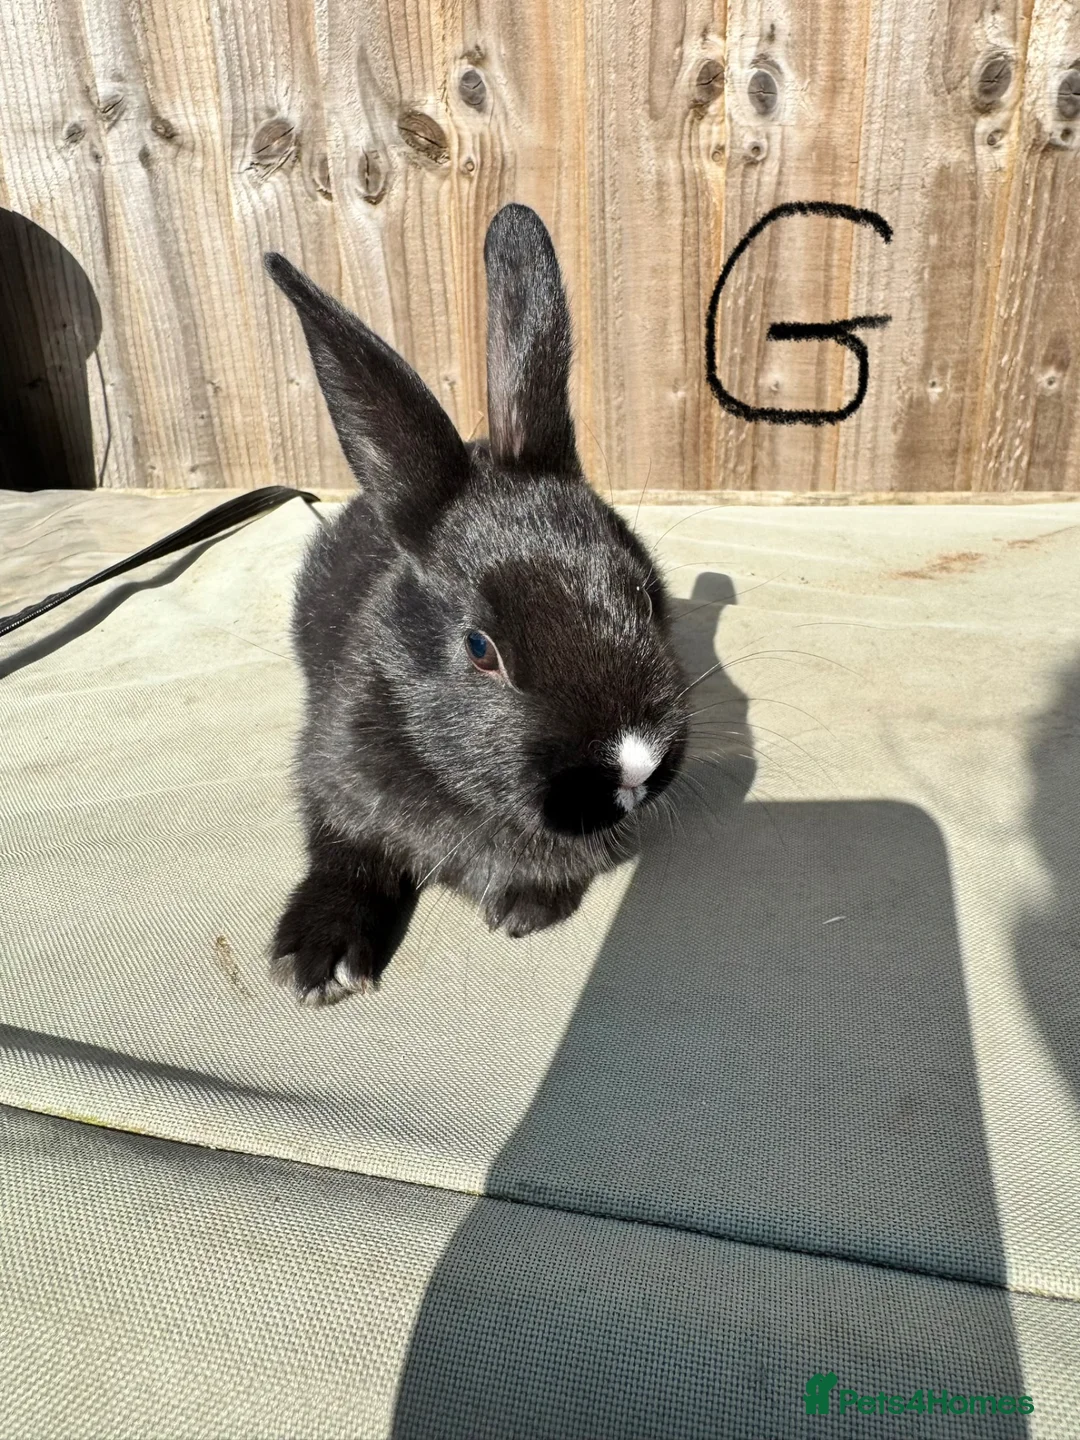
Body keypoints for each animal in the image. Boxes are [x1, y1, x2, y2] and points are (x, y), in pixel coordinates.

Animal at [264, 203, 690, 1005]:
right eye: (479, 648)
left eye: (645, 594)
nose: (634, 763)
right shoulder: (334, 778)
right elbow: (345, 853)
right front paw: (318, 960)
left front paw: (523, 908)